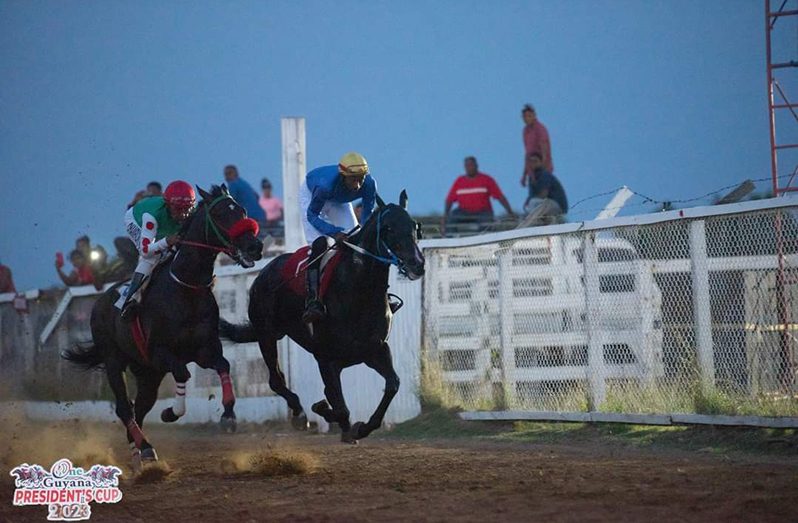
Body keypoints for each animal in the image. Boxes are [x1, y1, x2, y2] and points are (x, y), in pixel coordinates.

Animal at [64, 184, 262, 466]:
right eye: (221, 213)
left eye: (243, 210)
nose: (255, 246)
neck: (185, 288)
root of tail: (100, 300)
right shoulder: (161, 353)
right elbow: (182, 374)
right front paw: (171, 412)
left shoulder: (204, 349)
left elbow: (223, 365)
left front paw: (228, 416)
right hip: (115, 360)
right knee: (124, 407)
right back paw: (145, 446)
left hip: (148, 372)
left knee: (140, 407)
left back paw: (139, 452)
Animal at [220, 190, 424, 444]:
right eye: (387, 228)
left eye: (415, 226)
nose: (417, 264)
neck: (358, 291)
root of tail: (264, 271)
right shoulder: (326, 359)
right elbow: (340, 407)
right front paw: (329, 414)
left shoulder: (375, 350)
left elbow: (392, 385)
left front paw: (361, 427)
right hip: (266, 335)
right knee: (276, 380)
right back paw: (299, 415)